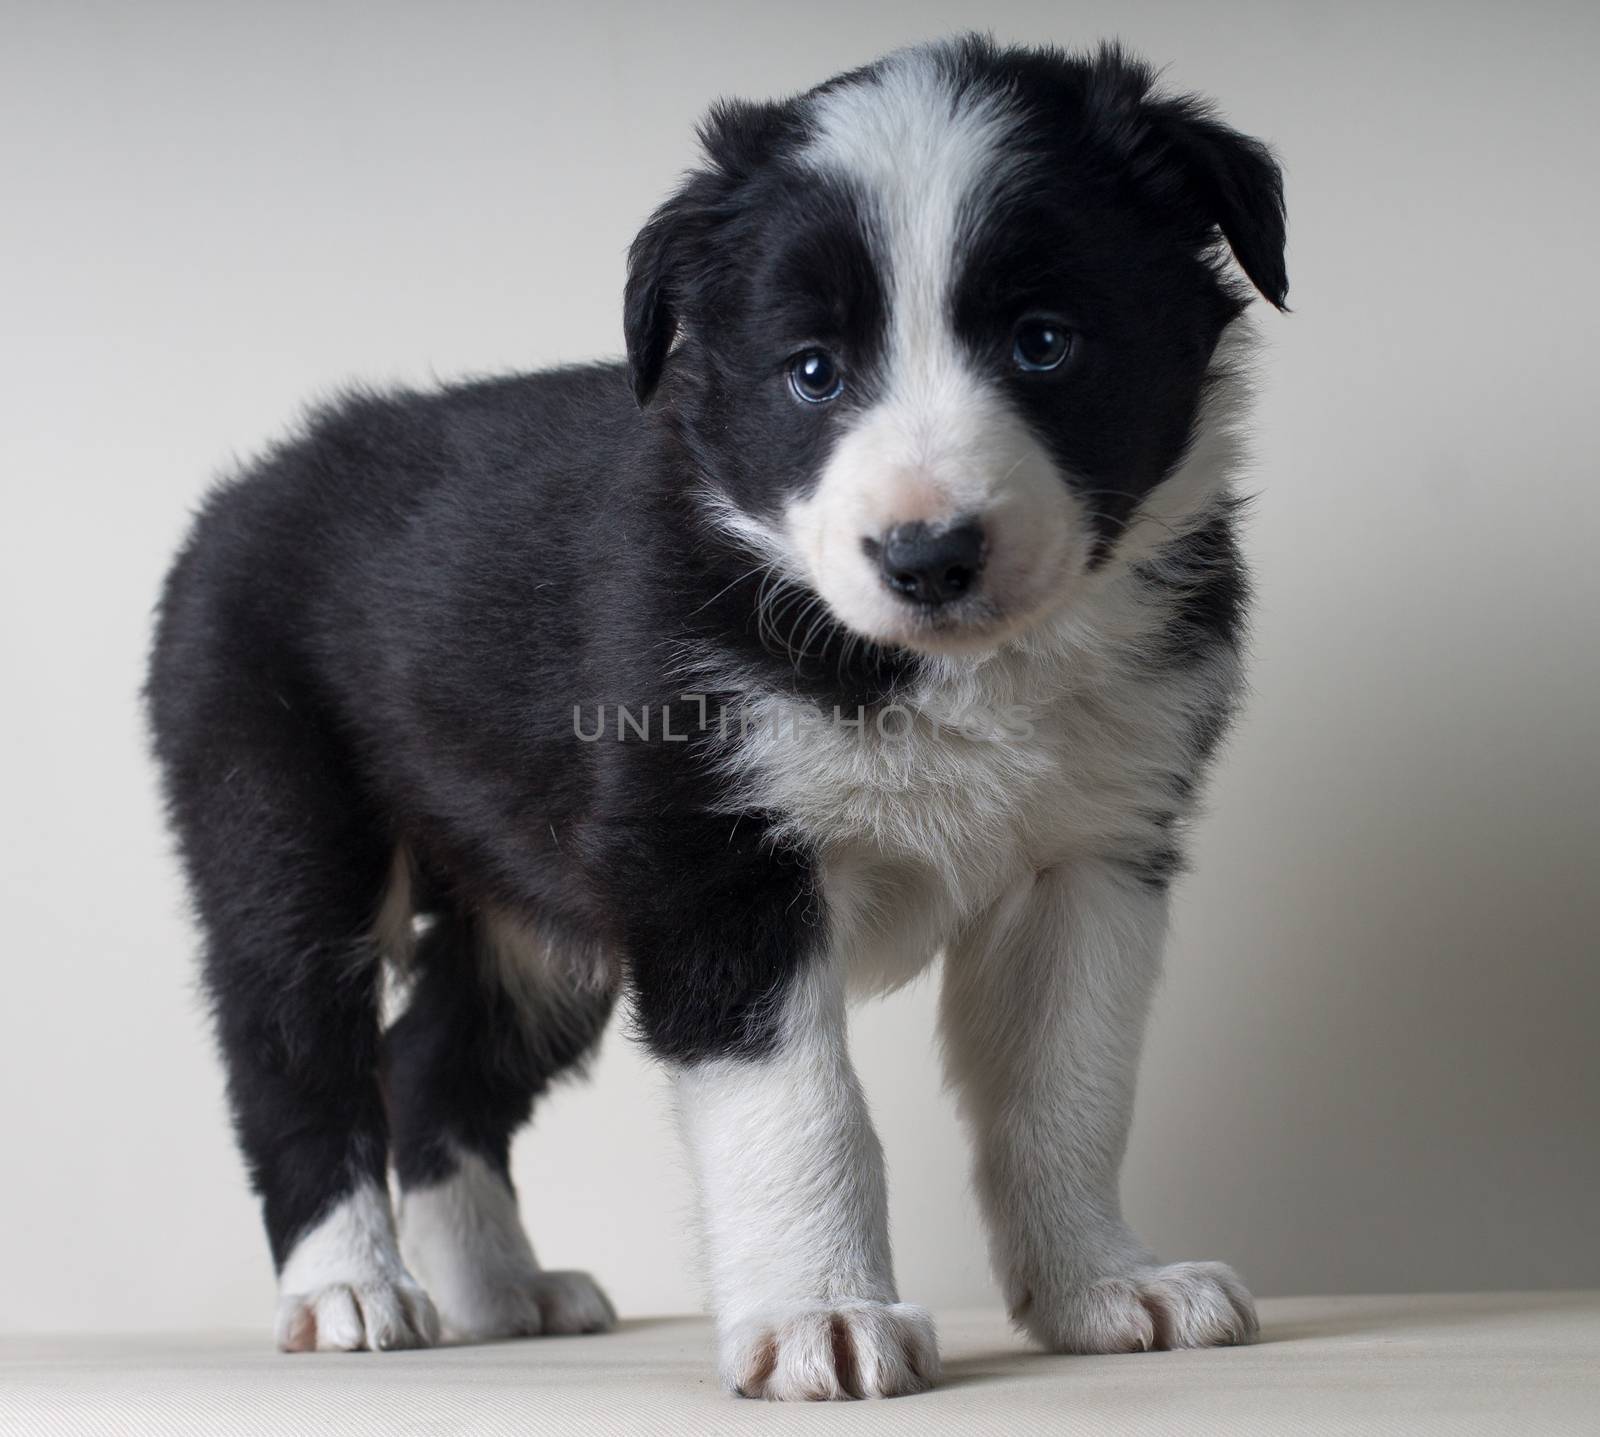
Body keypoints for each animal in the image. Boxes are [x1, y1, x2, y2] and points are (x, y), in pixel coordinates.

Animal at [140, 36, 1286, 1401]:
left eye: (1045, 343)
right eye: (813, 372)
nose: (927, 556)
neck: (926, 667)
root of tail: (244, 491)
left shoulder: (1092, 857)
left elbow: (1067, 1087)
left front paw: (1104, 1290)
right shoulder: (710, 864)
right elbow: (802, 1109)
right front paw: (822, 1318)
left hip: (534, 920)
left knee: (429, 1064)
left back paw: (500, 1291)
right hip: (279, 806)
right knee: (294, 1047)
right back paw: (349, 1289)